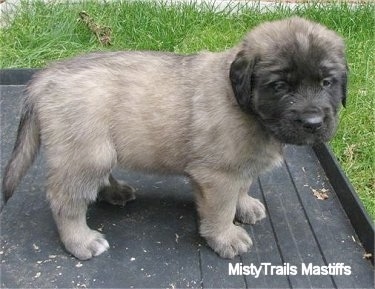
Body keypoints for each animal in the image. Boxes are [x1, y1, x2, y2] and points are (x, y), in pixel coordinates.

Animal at [0, 16, 346, 258]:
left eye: (326, 82)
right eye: (280, 86)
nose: (314, 122)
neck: (245, 106)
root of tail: (45, 76)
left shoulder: (238, 167)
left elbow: (243, 185)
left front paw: (245, 205)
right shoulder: (217, 176)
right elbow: (221, 208)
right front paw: (226, 237)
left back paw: (115, 192)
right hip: (86, 153)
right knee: (65, 202)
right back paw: (81, 241)